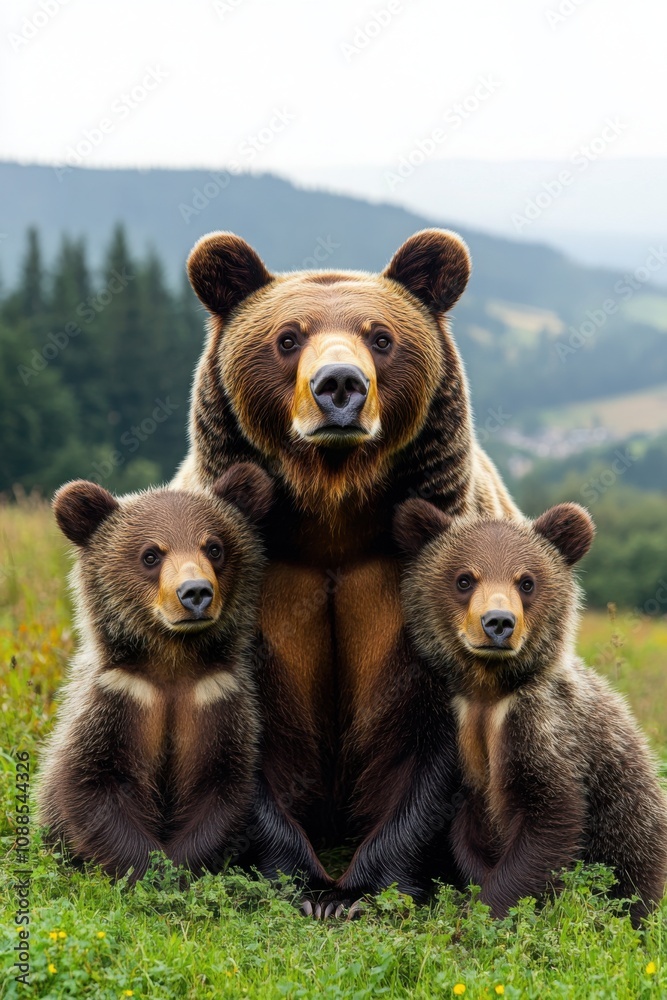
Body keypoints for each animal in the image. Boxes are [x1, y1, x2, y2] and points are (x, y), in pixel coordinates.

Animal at [38, 462, 328, 888]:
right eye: (150, 554)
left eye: (214, 547)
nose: (195, 592)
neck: (174, 661)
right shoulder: (118, 699)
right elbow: (88, 784)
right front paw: (146, 869)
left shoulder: (218, 699)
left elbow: (224, 788)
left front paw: (179, 868)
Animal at [172, 227, 522, 912]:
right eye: (288, 337)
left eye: (381, 336)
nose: (339, 384)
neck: (333, 514)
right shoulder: (252, 576)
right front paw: (306, 884)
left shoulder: (420, 578)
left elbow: (438, 739)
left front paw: (361, 888)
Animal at [393, 497, 667, 924]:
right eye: (464, 579)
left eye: (526, 581)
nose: (498, 623)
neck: (490, 692)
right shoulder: (462, 732)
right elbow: (467, 829)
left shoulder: (543, 726)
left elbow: (550, 821)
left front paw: (484, 910)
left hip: (637, 833)